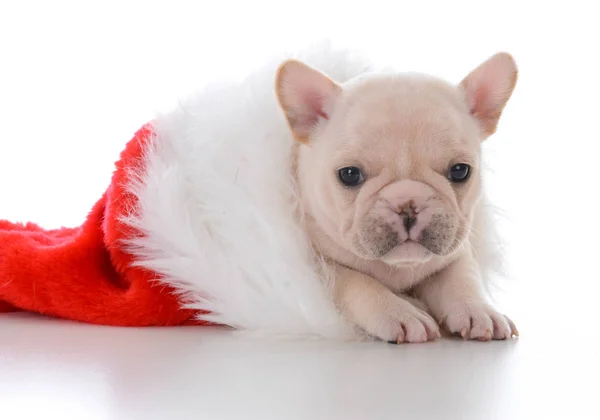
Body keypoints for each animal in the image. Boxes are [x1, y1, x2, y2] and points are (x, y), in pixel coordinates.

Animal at [274, 52, 516, 342]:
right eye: (349, 174)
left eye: (460, 171)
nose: (408, 204)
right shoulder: (319, 266)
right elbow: (356, 282)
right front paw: (401, 312)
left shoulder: (456, 252)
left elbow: (462, 277)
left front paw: (479, 310)